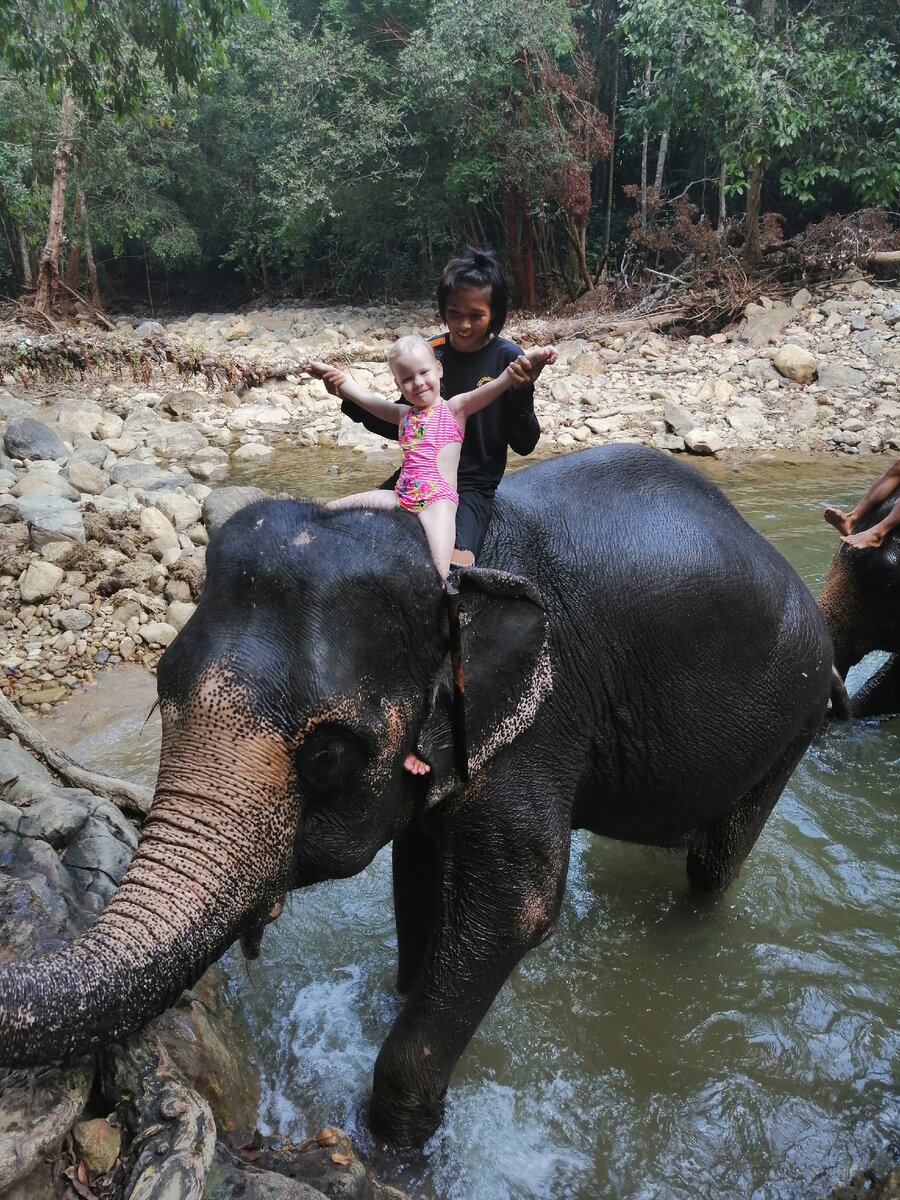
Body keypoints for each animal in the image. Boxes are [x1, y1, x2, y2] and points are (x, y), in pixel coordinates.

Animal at [0, 441, 844, 1142]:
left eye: (328, 755)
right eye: (158, 692)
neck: (447, 564)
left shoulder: (543, 717)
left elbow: (518, 903)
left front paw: (401, 1146)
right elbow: (415, 866)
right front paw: (399, 994)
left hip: (795, 718)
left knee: (715, 861)